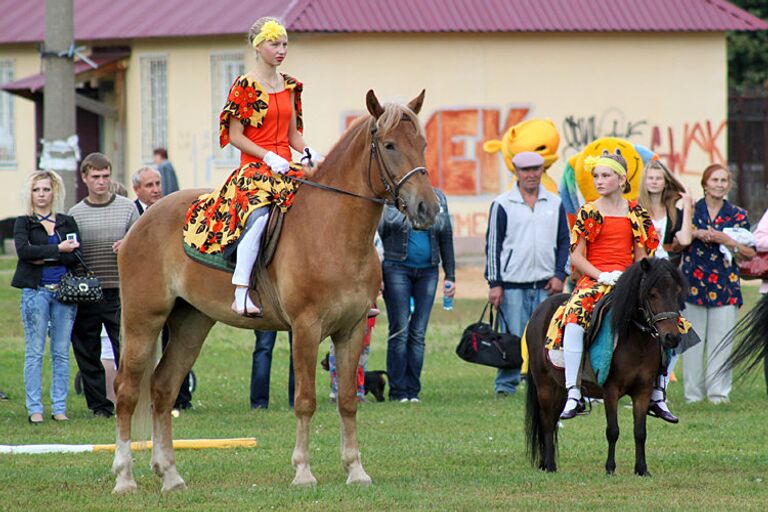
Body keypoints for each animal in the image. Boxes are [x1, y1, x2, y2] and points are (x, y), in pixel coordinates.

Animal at [111, 90, 440, 494]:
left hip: (191, 325)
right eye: (390, 145)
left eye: (422, 144)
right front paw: (303, 471)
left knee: (163, 388)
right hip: (143, 321)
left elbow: (348, 400)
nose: (428, 208)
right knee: (127, 391)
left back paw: (170, 475)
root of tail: (142, 219)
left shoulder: (352, 330)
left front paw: (355, 469)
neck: (335, 229)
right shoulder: (306, 329)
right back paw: (124, 477)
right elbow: (305, 400)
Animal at [528, 260, 684, 476]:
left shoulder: (643, 390)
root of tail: (539, 309)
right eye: (652, 294)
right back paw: (550, 465)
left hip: (558, 388)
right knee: (547, 422)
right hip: (544, 385)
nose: (672, 338)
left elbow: (640, 432)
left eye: (677, 293)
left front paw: (642, 469)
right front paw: (610, 468)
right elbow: (613, 430)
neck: (636, 340)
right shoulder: (611, 390)